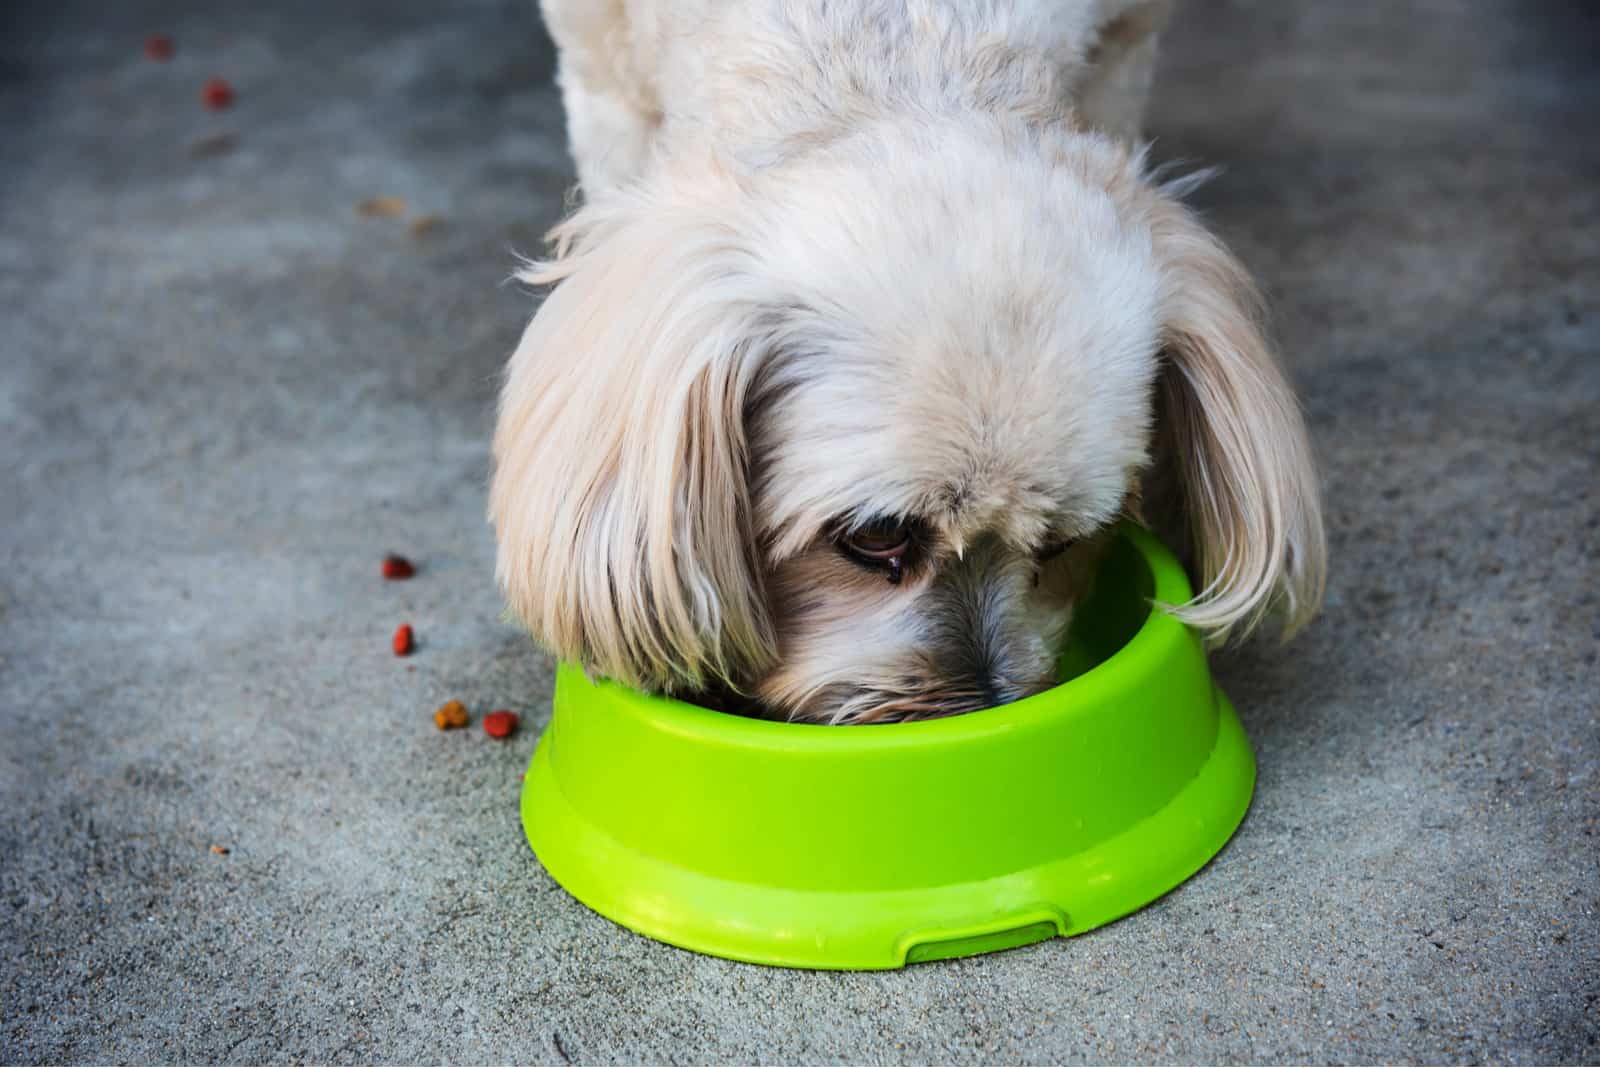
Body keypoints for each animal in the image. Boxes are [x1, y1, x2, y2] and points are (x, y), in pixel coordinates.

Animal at [486, 0, 1324, 725]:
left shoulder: (1123, 41)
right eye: (876, 537)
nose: (983, 709)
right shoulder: (602, 75)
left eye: (1061, 543)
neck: (899, 56)